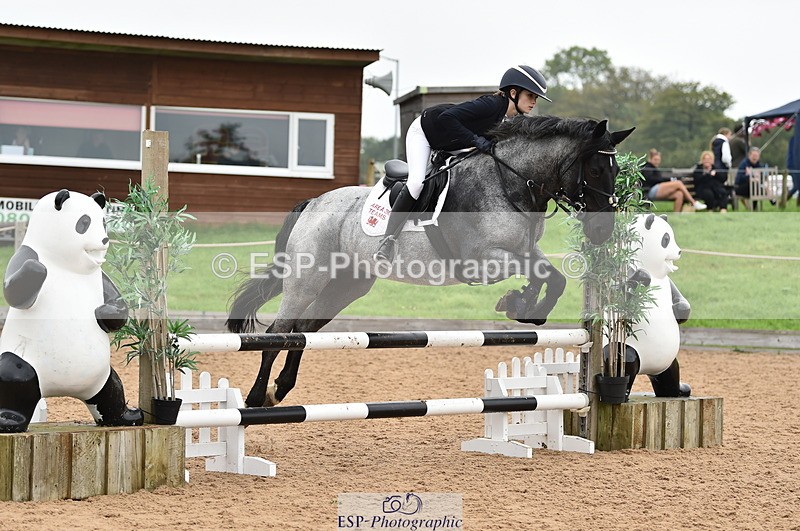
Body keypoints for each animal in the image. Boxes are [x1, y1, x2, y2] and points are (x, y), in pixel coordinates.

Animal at [226, 115, 635, 407]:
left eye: (616, 172)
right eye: (596, 169)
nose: (602, 231)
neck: (509, 182)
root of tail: (313, 202)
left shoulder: (524, 251)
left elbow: (553, 277)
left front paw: (523, 305)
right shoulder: (484, 259)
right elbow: (541, 275)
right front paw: (519, 302)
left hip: (347, 285)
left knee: (303, 331)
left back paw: (280, 389)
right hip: (306, 279)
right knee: (276, 333)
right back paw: (256, 397)